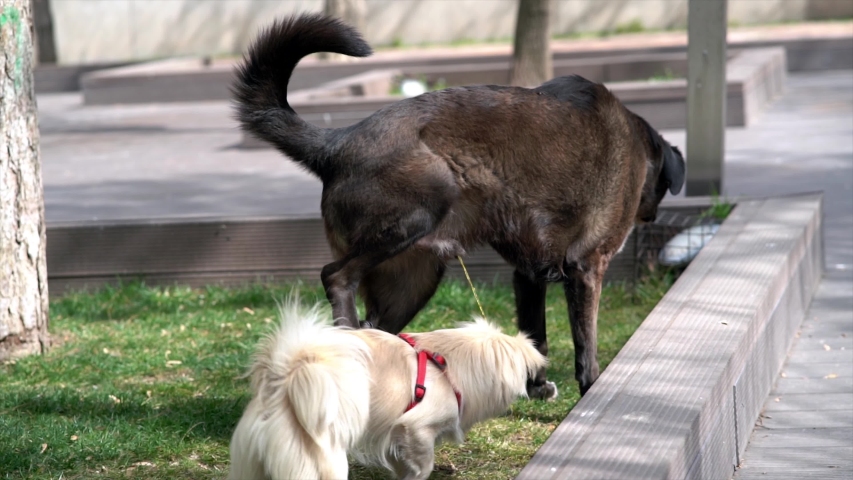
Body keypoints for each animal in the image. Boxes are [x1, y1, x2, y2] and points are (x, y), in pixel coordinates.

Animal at [226, 302, 544, 478]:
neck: (445, 366)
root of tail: (283, 381)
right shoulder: (416, 427)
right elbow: (424, 464)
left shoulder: (395, 435)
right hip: (323, 464)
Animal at [233, 14, 684, 398]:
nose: (653, 215)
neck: (638, 148)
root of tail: (336, 143)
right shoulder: (587, 268)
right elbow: (585, 342)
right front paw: (591, 388)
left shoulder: (529, 275)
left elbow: (535, 336)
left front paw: (536, 387)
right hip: (421, 211)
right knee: (336, 277)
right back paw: (347, 332)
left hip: (415, 277)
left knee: (376, 326)